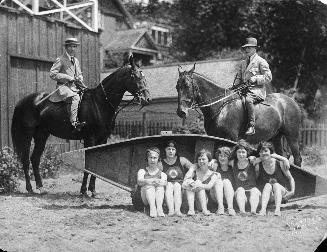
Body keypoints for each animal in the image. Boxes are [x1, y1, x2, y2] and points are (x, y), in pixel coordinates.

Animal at [11, 56, 151, 195]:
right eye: (135, 76)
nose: (147, 99)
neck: (100, 103)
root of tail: (21, 102)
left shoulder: (103, 139)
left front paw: (92, 190)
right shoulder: (90, 138)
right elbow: (87, 164)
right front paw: (84, 190)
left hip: (41, 135)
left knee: (35, 159)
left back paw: (40, 187)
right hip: (26, 136)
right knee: (25, 159)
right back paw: (29, 188)